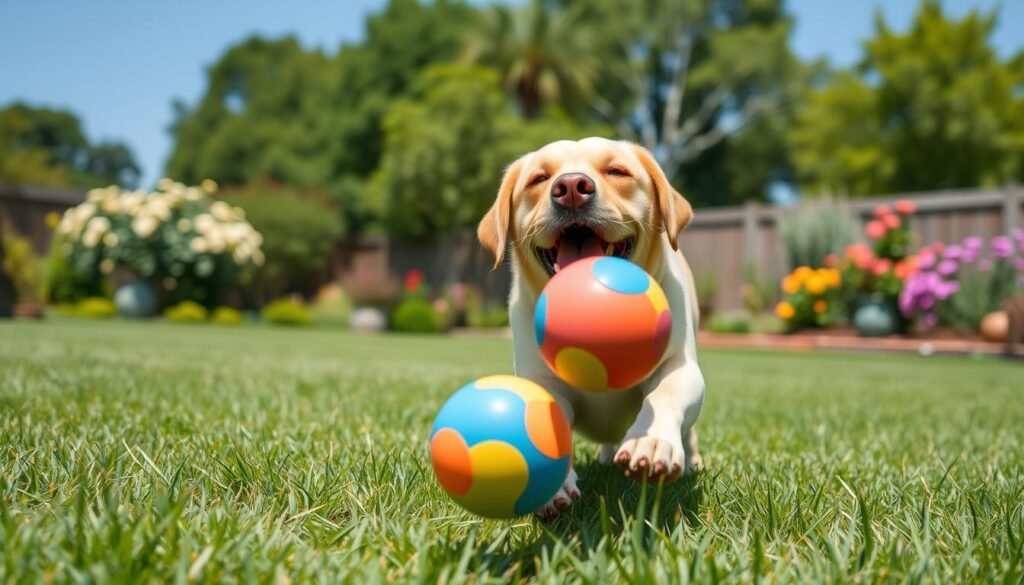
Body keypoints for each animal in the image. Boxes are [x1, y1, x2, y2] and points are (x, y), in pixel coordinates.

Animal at [477, 138, 704, 522]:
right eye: (539, 178)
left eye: (617, 171)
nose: (570, 188)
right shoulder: (543, 382)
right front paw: (552, 483)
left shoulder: (681, 366)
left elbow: (664, 393)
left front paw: (652, 441)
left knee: (689, 433)